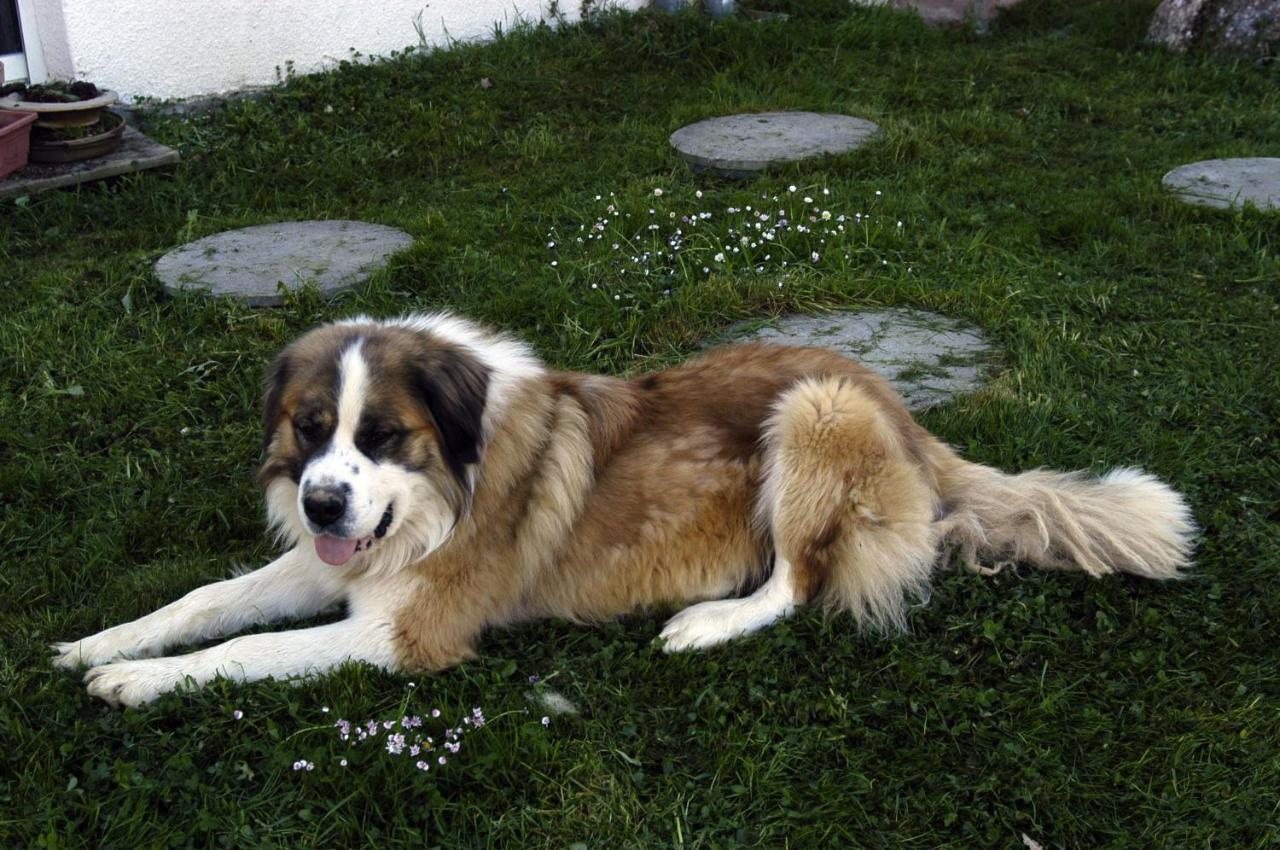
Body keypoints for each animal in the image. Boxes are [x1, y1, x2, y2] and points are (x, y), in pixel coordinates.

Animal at [55, 314, 1192, 706]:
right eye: (308, 427)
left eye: (381, 434)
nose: (323, 500)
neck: (445, 482)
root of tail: (905, 411)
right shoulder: (344, 558)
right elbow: (209, 601)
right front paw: (100, 642)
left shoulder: (403, 632)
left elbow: (246, 651)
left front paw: (133, 682)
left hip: (813, 414)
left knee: (800, 582)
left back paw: (706, 622)